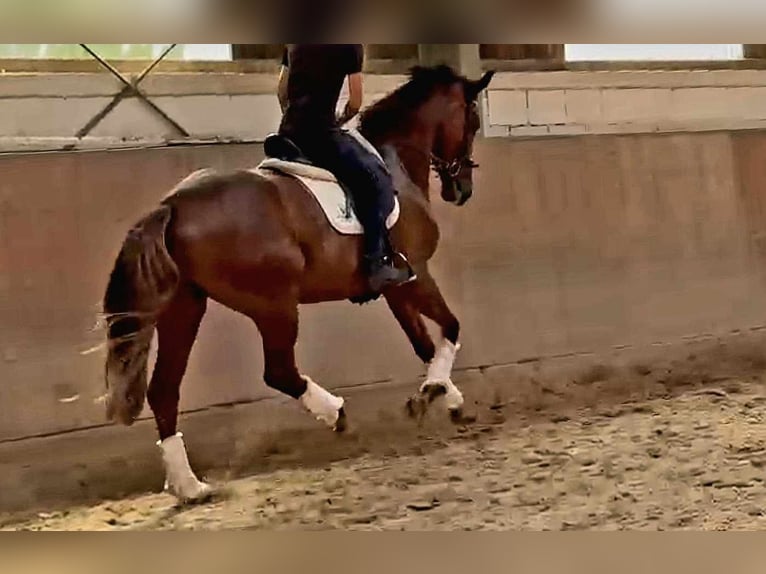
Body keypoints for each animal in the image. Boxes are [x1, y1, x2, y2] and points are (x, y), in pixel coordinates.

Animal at [102, 64, 498, 504]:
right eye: (472, 120)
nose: (461, 189)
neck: (395, 158)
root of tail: (172, 204)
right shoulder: (417, 276)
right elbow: (450, 328)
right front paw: (435, 392)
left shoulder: (397, 287)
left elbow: (424, 344)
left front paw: (444, 397)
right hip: (273, 304)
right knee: (278, 372)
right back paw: (335, 413)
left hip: (185, 307)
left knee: (164, 390)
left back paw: (190, 487)